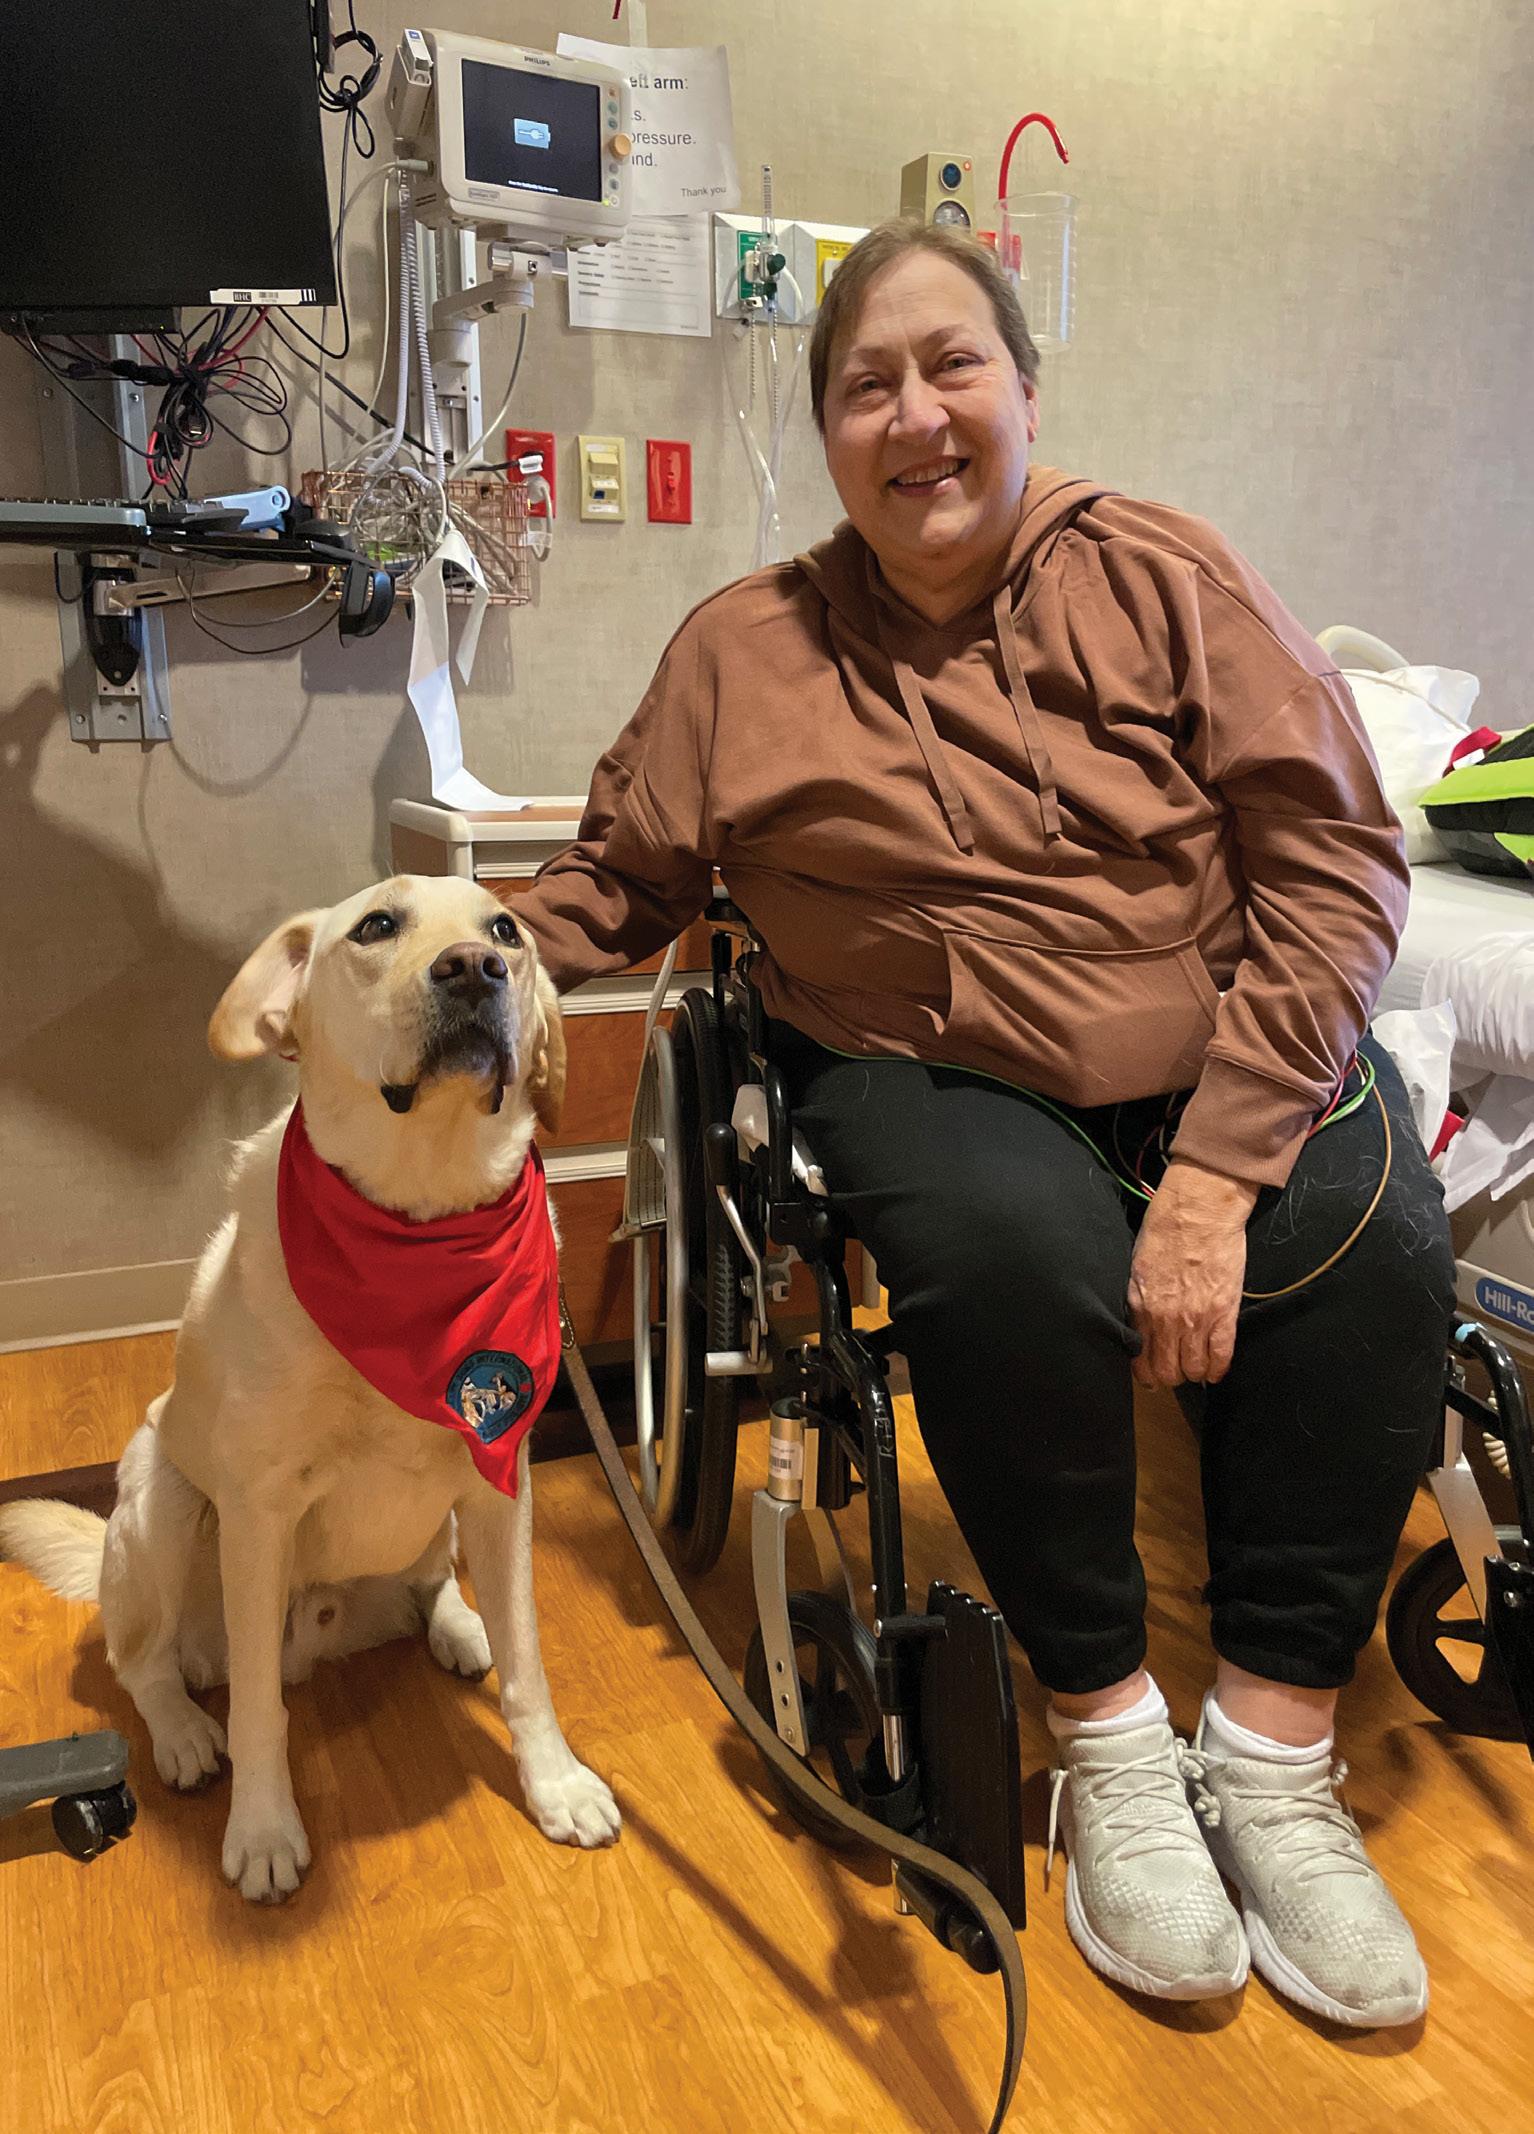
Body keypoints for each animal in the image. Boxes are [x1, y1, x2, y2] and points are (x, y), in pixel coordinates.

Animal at [7, 874, 618, 1912]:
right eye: (376, 926)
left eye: (506, 930)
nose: (474, 969)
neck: (423, 1221)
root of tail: (329, 1633)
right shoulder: (259, 1515)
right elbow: (260, 1709)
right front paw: (262, 1832)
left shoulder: (502, 1480)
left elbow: (529, 1663)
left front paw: (556, 1782)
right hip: (162, 1503)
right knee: (145, 1663)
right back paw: (182, 1733)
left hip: (442, 1521)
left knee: (432, 1584)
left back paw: (459, 1624)